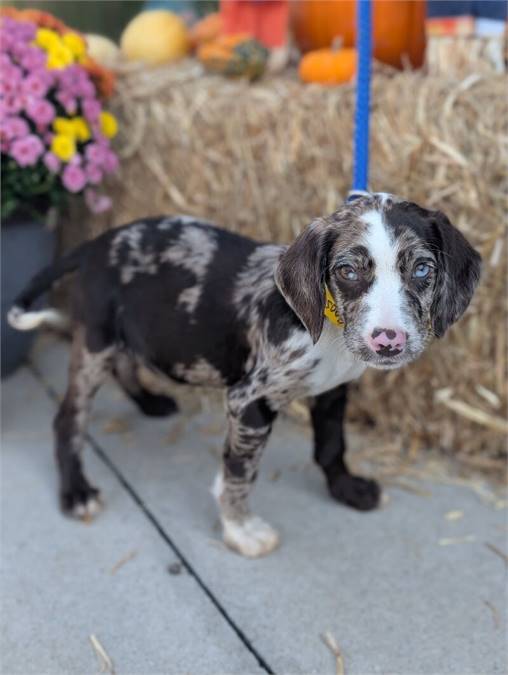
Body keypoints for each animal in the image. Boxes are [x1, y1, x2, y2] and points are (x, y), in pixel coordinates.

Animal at [9, 193, 482, 556]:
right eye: (347, 271)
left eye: (422, 269)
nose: (388, 341)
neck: (324, 329)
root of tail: (95, 244)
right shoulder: (249, 401)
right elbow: (241, 472)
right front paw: (240, 529)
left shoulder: (334, 391)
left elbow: (332, 445)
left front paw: (347, 489)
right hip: (95, 341)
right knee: (68, 418)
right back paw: (76, 492)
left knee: (128, 361)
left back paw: (149, 401)